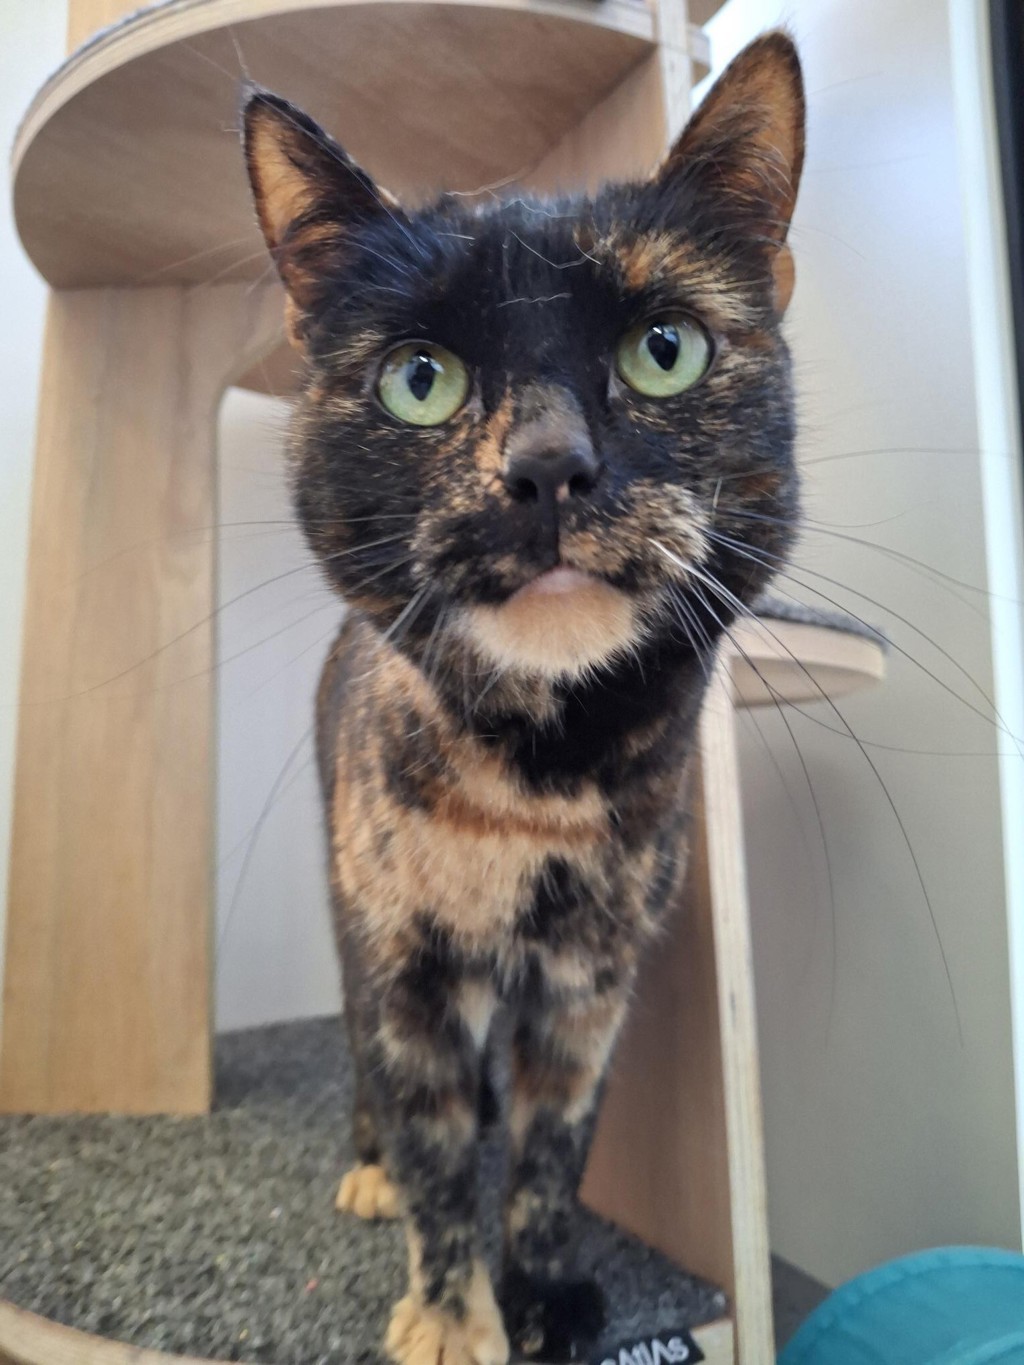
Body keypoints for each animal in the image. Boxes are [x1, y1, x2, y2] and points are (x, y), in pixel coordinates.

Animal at [242, 31, 804, 1365]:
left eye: (665, 349)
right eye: (419, 379)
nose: (548, 467)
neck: (543, 773)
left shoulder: (590, 981)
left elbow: (555, 1151)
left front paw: (544, 1287)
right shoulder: (407, 963)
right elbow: (441, 1152)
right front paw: (453, 1314)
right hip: (348, 912)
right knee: (367, 1065)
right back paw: (367, 1164)